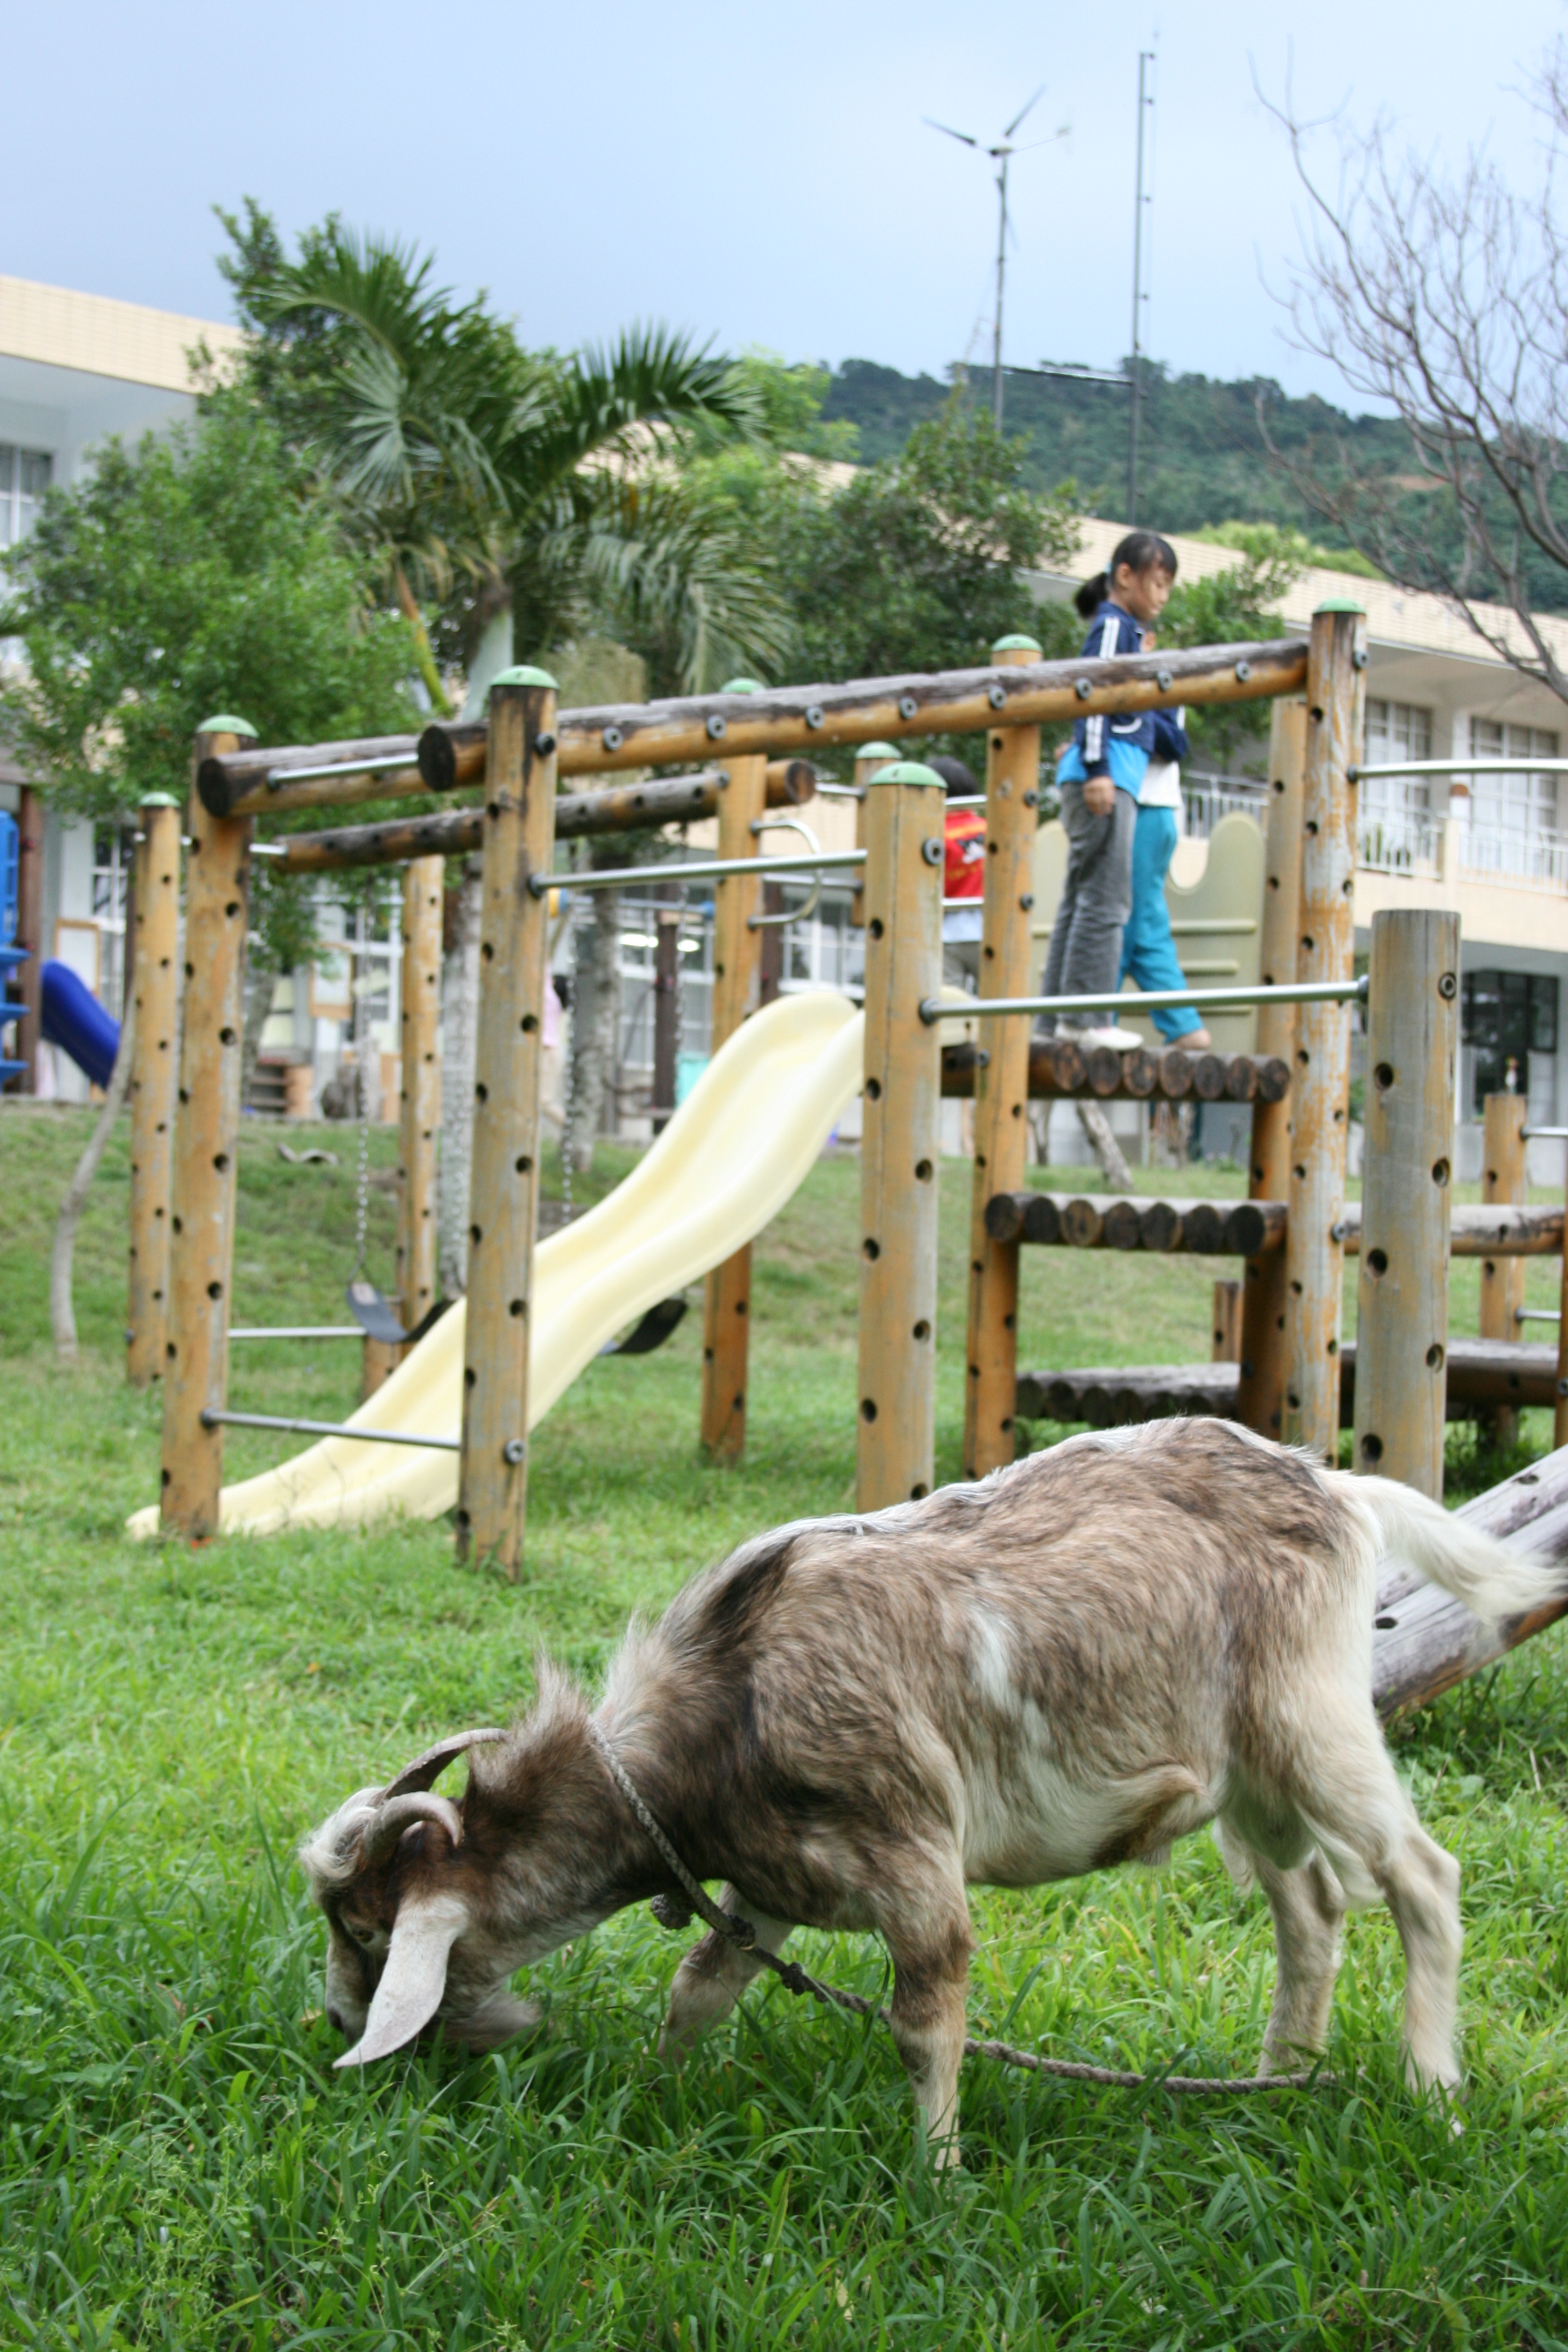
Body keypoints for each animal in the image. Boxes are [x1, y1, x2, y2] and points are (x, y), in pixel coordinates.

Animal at [301, 1420, 1561, 2154]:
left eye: (367, 1931)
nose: (339, 2022)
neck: (726, 1702)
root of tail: (1344, 1492)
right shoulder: (774, 1879)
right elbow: (699, 1985)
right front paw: (656, 2095)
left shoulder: (911, 1854)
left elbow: (924, 2019)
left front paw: (936, 2174)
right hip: (1249, 1774)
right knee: (1311, 1905)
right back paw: (1274, 2077)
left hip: (1309, 1717)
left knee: (1420, 1875)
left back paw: (1432, 2091)